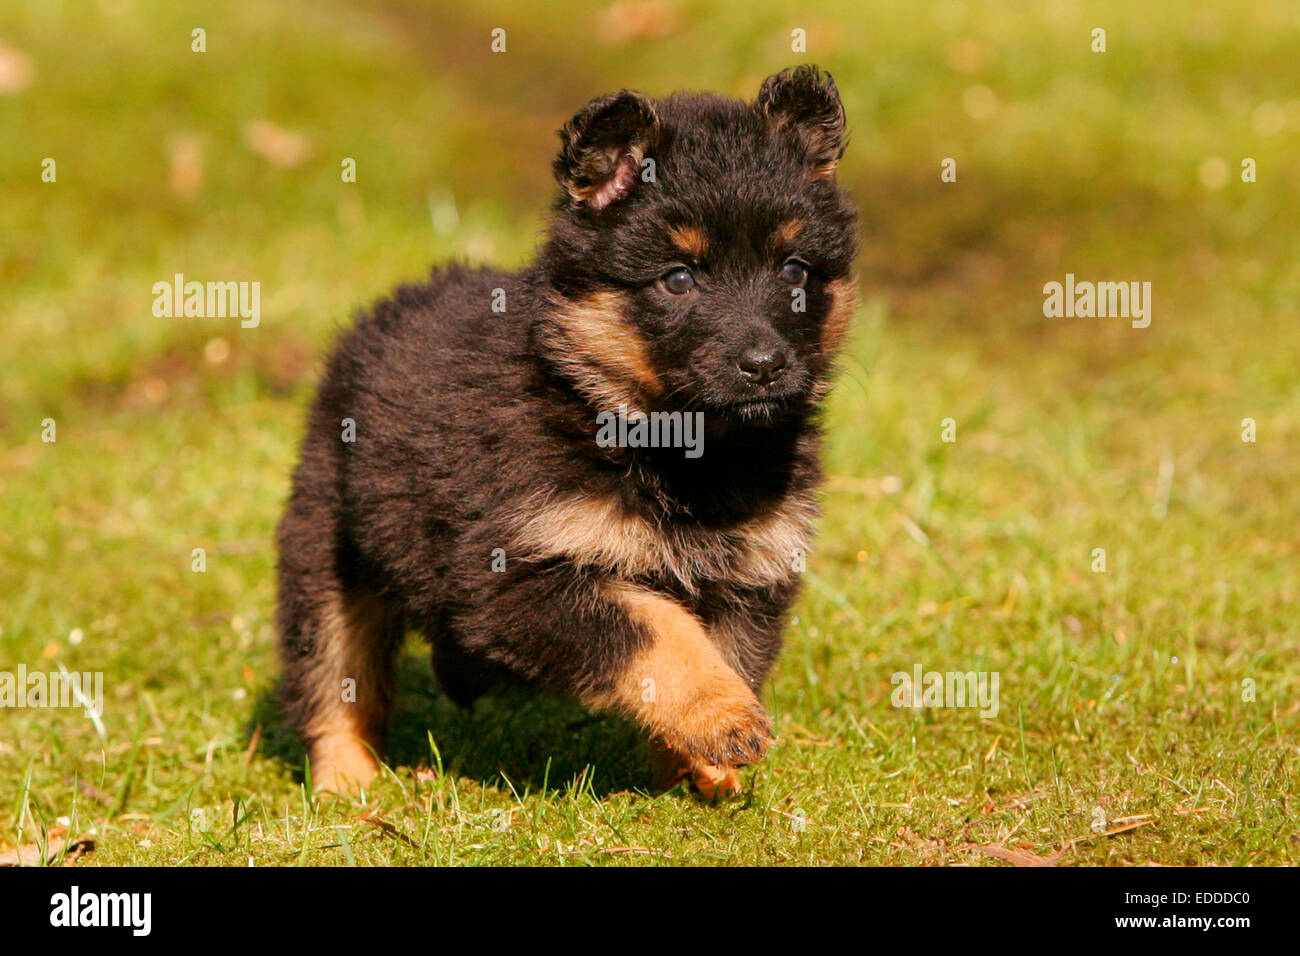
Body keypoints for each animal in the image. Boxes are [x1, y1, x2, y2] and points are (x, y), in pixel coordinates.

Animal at [274, 67, 857, 796]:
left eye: (795, 270)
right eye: (678, 278)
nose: (765, 365)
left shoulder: (752, 576)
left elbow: (719, 650)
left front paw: (702, 768)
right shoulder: (515, 579)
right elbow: (657, 627)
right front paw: (720, 718)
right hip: (328, 550)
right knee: (334, 679)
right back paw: (349, 788)